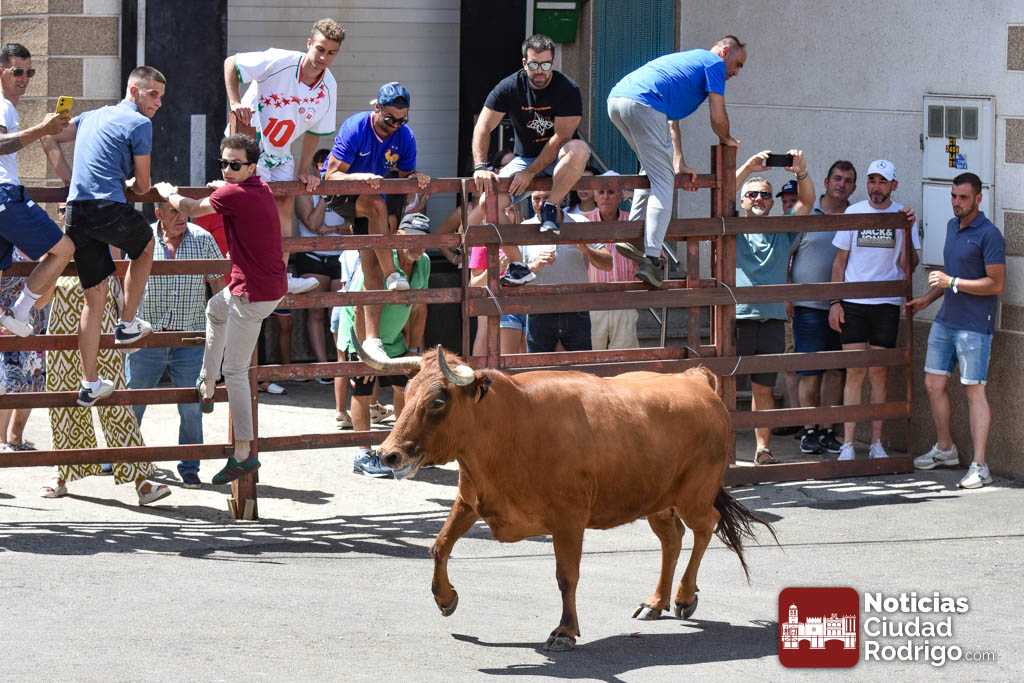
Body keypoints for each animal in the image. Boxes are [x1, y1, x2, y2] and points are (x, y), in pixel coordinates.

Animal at [355, 339, 777, 651]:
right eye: (407, 393)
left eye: (438, 401)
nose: (388, 454)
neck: (509, 426)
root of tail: (694, 379)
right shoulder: (469, 502)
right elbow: (439, 546)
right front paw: (445, 599)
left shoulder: (569, 519)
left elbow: (566, 575)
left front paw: (565, 630)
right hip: (656, 499)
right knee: (672, 539)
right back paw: (655, 602)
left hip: (695, 493)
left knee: (706, 526)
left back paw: (685, 597)